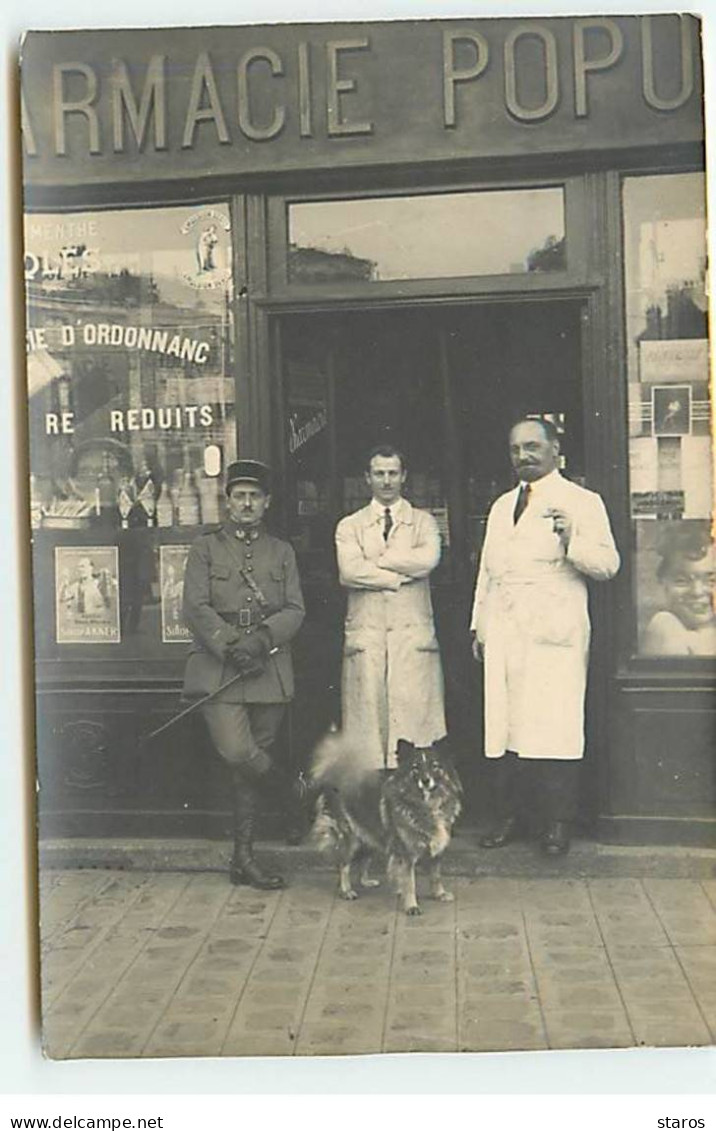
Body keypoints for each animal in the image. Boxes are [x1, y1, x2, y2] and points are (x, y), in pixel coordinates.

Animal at [309, 728, 461, 913]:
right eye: (415, 767)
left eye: (435, 766)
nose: (425, 780)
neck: (426, 802)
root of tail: (337, 776)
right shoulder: (405, 853)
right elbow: (409, 882)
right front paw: (411, 905)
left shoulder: (436, 847)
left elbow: (436, 875)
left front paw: (439, 894)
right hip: (349, 837)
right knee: (343, 864)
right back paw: (346, 891)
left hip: (370, 836)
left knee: (363, 860)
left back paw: (366, 881)